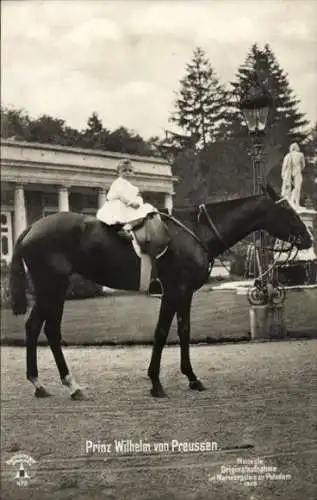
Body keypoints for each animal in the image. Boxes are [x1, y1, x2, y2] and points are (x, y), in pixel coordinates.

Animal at [8, 184, 310, 398]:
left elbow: (184, 331)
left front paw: (192, 377)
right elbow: (162, 332)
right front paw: (155, 382)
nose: (308, 238)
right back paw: (71, 385)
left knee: (33, 327)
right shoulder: (174, 291)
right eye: (287, 211)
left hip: (47, 290)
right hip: (54, 287)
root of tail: (31, 228)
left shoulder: (186, 293)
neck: (195, 231)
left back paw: (38, 384)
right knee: (51, 330)